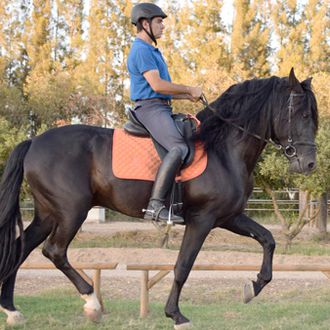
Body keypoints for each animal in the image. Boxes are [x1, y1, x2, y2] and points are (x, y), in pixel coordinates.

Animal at [0, 69, 318, 328]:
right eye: (304, 115)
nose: (310, 164)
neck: (223, 147)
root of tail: (33, 142)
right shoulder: (202, 220)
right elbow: (183, 265)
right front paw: (176, 315)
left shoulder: (228, 217)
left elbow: (268, 239)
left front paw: (254, 287)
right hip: (71, 212)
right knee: (54, 251)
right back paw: (92, 303)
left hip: (48, 214)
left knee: (21, 249)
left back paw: (12, 311)